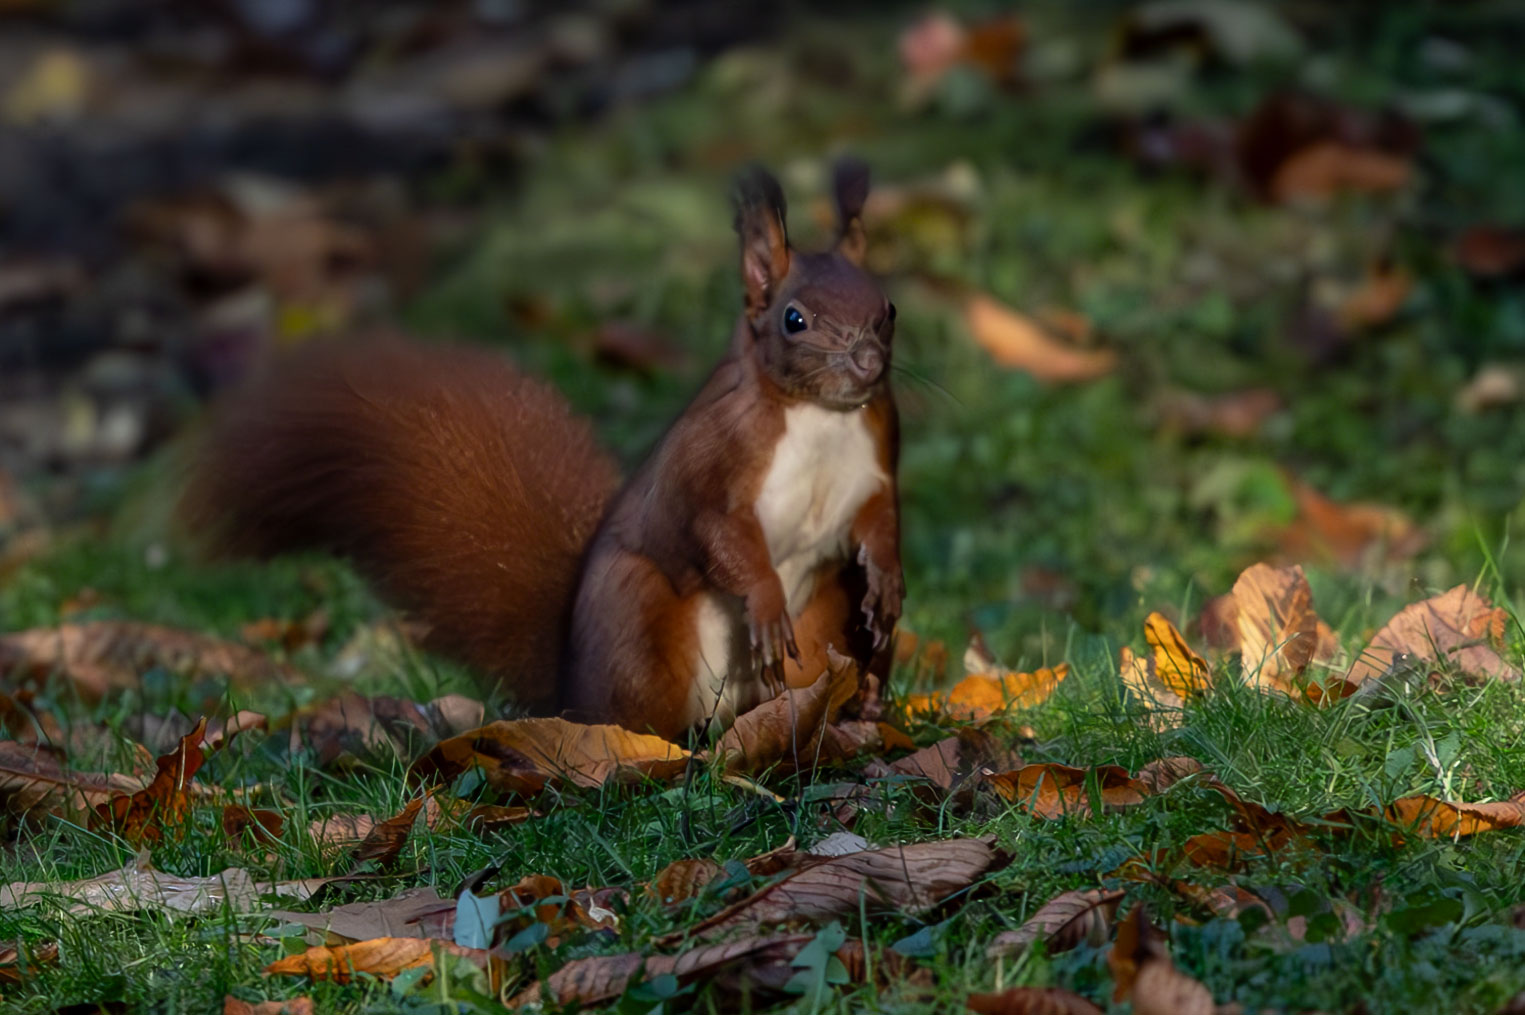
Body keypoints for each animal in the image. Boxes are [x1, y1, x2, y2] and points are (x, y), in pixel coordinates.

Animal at [179, 162, 896, 740]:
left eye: (887, 308)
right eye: (794, 319)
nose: (867, 362)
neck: (820, 417)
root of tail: (568, 688)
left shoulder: (877, 456)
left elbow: (878, 519)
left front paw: (889, 582)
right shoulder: (713, 458)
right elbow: (719, 533)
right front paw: (766, 601)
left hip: (824, 620)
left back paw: (856, 703)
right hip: (640, 622)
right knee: (644, 720)